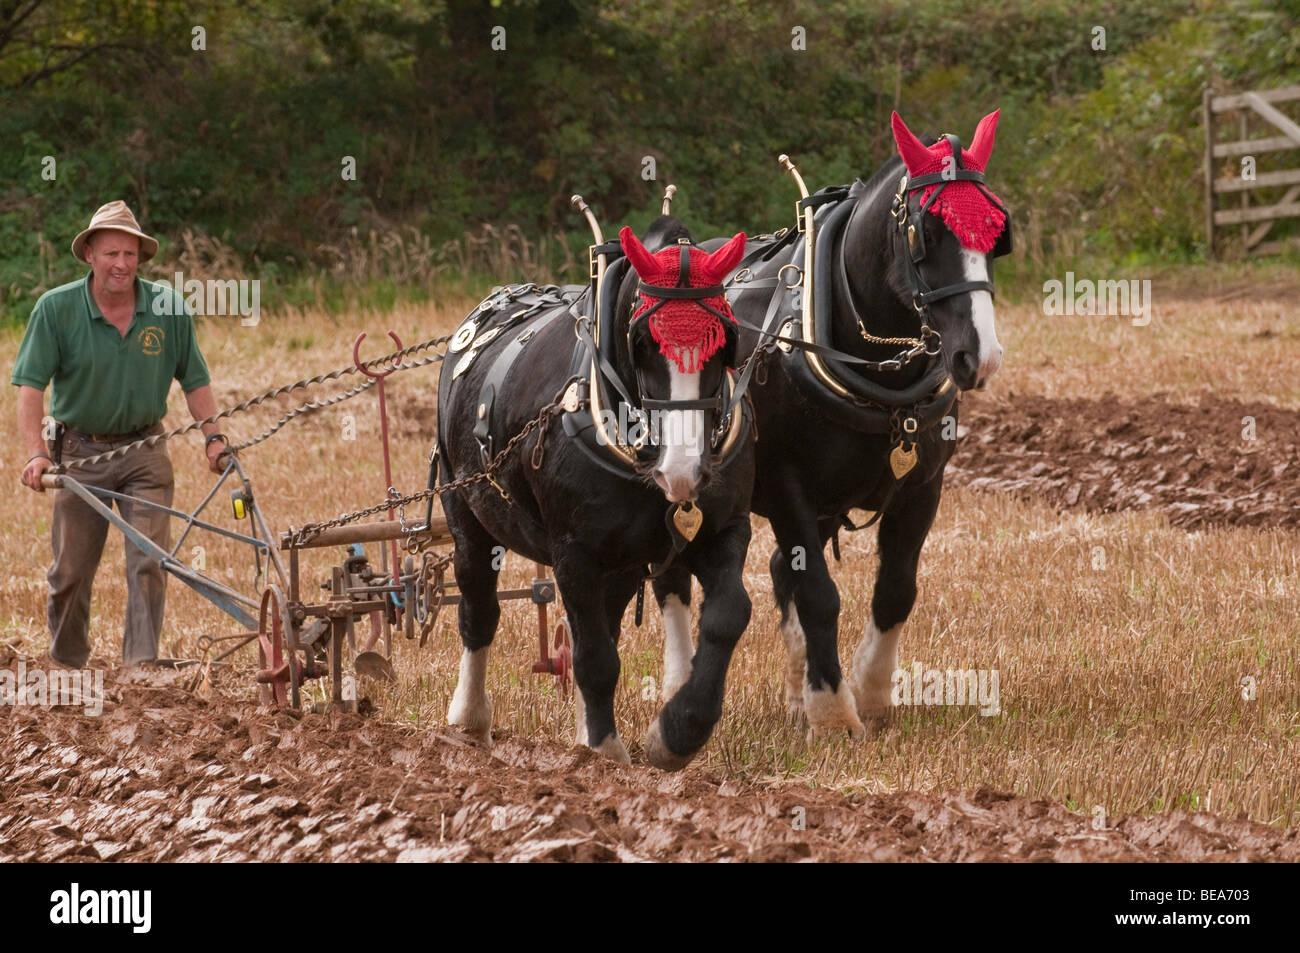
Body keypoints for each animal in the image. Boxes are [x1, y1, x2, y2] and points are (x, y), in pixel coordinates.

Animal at [436, 210, 755, 770]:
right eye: (642, 342)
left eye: (726, 341)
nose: (682, 471)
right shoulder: (573, 552)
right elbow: (593, 657)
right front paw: (605, 749)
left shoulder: (722, 527)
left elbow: (728, 614)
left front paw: (678, 731)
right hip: (464, 510)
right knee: (479, 607)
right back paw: (469, 717)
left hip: (623, 559)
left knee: (607, 617)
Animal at [652, 110, 1010, 736]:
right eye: (926, 232)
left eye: (997, 233)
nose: (980, 355)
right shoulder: (789, 488)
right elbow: (819, 594)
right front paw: (834, 711)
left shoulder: (923, 485)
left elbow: (895, 589)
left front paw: (868, 693)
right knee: (674, 578)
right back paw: (679, 683)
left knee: (780, 570)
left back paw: (797, 691)